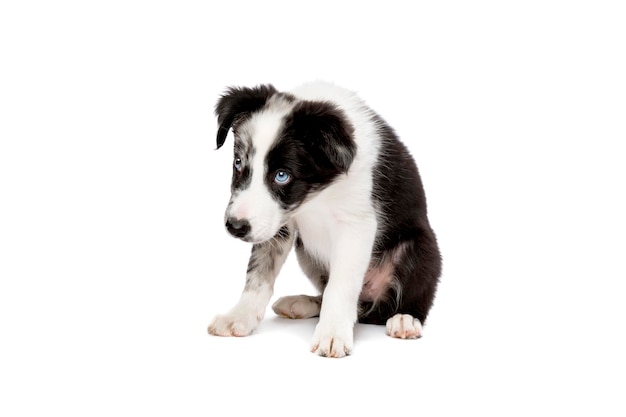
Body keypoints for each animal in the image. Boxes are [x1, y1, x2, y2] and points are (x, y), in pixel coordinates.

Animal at [208, 82, 438, 358]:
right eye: (238, 162)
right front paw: (239, 316)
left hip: (422, 249)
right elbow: (259, 272)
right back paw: (303, 303)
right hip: (307, 254)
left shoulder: (357, 223)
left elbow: (341, 285)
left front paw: (332, 334)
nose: (235, 227)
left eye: (282, 175)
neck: (317, 192)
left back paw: (405, 319)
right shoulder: (278, 220)